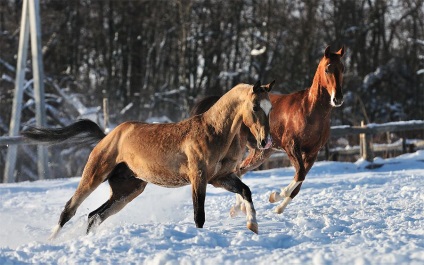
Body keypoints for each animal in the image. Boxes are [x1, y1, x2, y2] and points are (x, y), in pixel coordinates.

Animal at [23, 81, 274, 237]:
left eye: (270, 107)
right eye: (255, 106)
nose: (265, 141)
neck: (213, 131)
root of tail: (107, 137)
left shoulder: (220, 178)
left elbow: (246, 191)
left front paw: (253, 226)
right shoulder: (199, 177)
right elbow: (199, 216)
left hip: (128, 190)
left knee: (95, 215)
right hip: (94, 175)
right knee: (69, 209)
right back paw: (51, 242)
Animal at [189, 44, 344, 214]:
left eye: (342, 68)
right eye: (327, 69)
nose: (337, 99)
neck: (310, 111)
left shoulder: (312, 153)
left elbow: (300, 180)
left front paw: (279, 208)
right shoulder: (291, 146)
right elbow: (300, 174)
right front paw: (276, 196)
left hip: (260, 153)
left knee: (239, 170)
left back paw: (238, 208)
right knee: (235, 170)